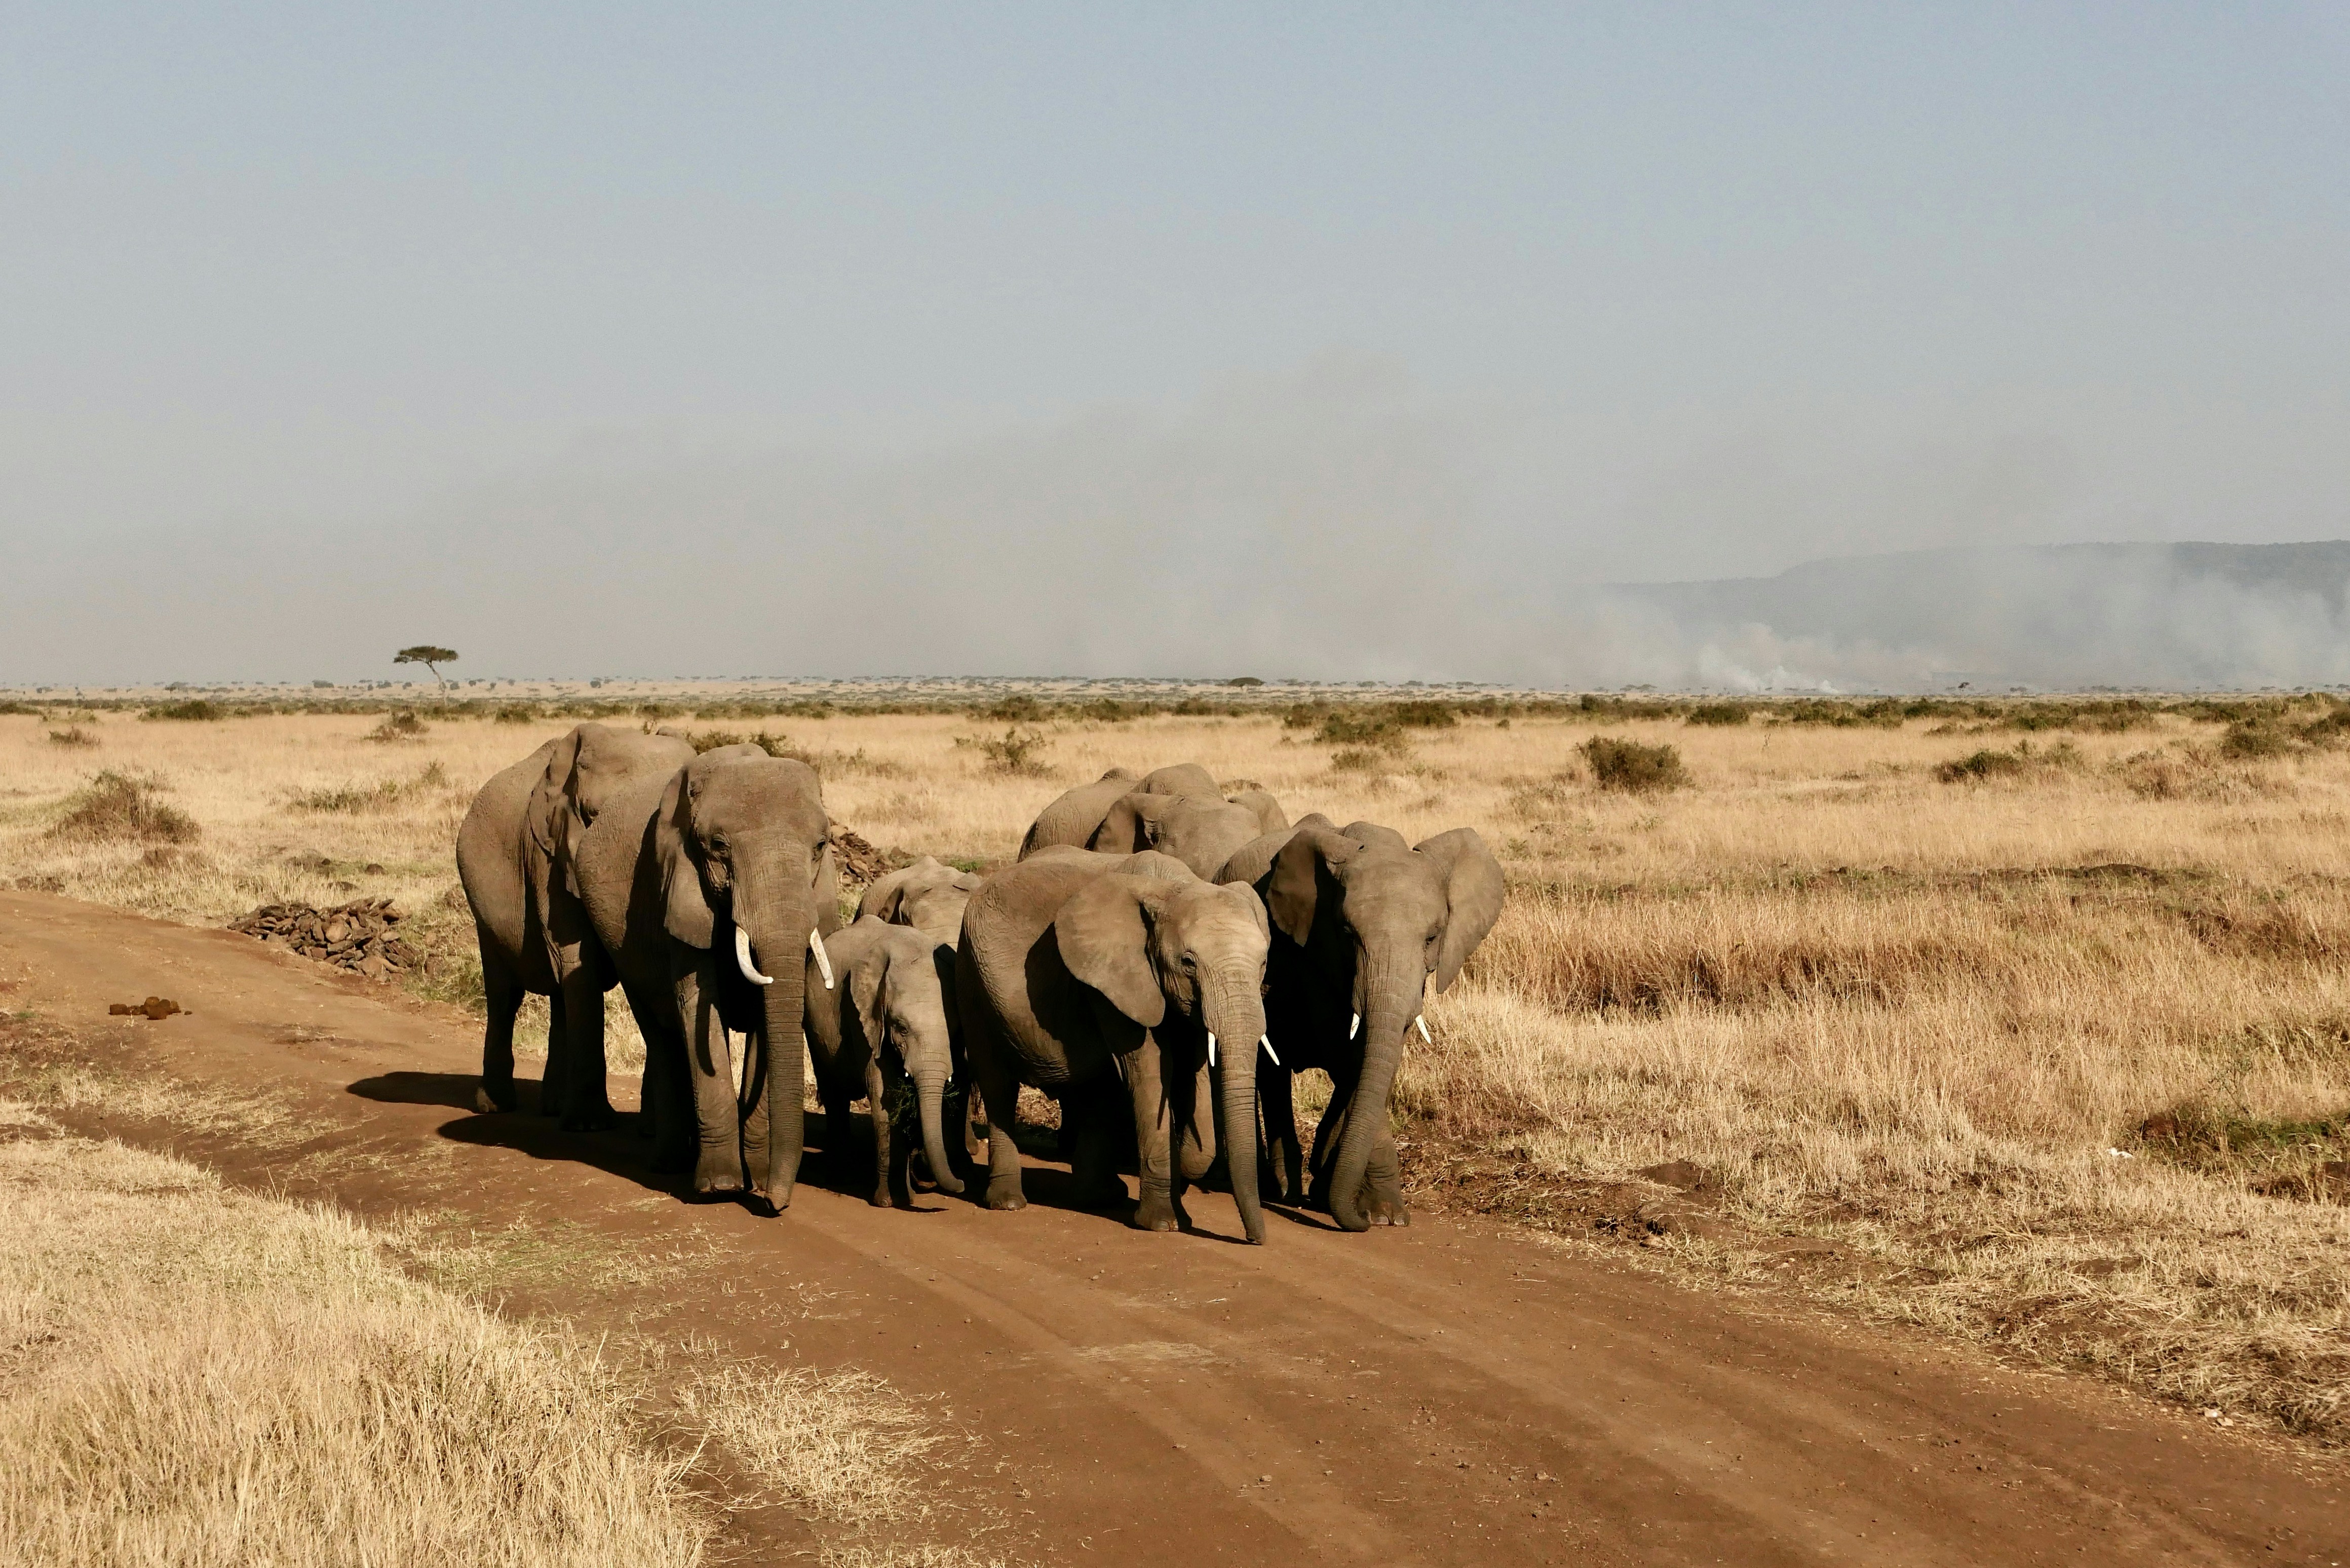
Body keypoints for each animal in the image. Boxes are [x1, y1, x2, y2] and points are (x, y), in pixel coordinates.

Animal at [572, 744, 839, 1203]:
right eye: (718, 847)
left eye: (820, 846)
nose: (776, 1202)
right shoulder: (678, 888)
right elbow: (700, 1006)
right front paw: (721, 1186)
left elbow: (769, 1018)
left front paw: (759, 1179)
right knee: (661, 1035)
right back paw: (670, 1163)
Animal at [802, 916, 964, 1207]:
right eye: (901, 1028)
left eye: (954, 1027)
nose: (961, 1185)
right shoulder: (860, 1014)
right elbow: (884, 1096)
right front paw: (888, 1201)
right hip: (813, 1024)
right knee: (833, 1093)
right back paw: (840, 1177)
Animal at [958, 849, 1272, 1242]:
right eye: (1188, 962)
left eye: (1263, 961)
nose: (1254, 1240)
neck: (1173, 888)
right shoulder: (1116, 977)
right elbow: (1151, 1070)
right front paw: (1164, 1224)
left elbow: (1193, 1067)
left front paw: (1184, 1184)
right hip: (973, 980)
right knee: (997, 1082)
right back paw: (1008, 1202)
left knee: (1097, 1090)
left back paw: (1100, 1197)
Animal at [1219, 818, 1504, 1231]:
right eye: (1347, 934)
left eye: (1432, 938)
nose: (1358, 1222)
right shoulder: (1317, 956)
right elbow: (1346, 1054)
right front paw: (1382, 1216)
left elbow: (1379, 1055)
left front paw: (1362, 1205)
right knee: (1271, 1068)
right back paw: (1283, 1191)